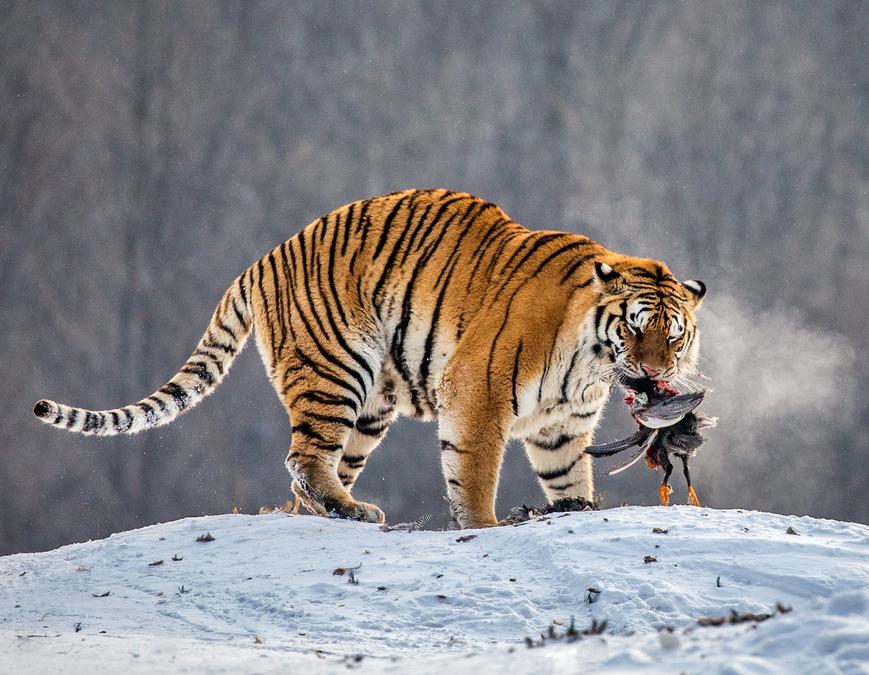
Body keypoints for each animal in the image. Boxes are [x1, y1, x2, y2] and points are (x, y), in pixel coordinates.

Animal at [34, 189, 704, 528]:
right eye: (635, 327)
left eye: (674, 336)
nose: (656, 375)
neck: (590, 366)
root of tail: (265, 258)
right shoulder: (477, 395)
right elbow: (474, 473)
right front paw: (484, 528)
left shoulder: (560, 426)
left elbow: (569, 476)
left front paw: (574, 512)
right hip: (335, 369)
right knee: (303, 457)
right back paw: (351, 511)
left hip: (370, 406)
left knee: (314, 468)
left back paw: (336, 511)